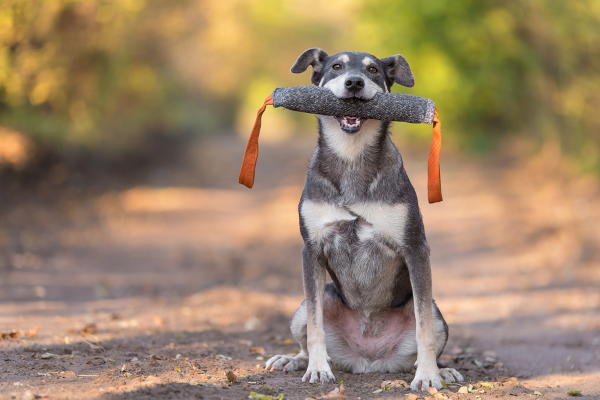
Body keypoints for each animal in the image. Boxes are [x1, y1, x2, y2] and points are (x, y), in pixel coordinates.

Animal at [264, 48, 464, 392]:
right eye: (336, 66)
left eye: (373, 70)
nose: (354, 82)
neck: (351, 157)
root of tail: (368, 360)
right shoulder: (311, 250)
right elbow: (316, 328)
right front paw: (318, 370)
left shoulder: (416, 248)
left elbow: (423, 329)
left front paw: (427, 376)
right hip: (308, 304)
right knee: (307, 335)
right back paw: (293, 360)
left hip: (437, 312)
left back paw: (443, 370)